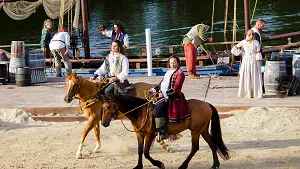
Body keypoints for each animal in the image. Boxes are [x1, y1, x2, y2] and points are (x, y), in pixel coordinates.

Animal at [101, 95, 230, 169]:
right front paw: (138, 166)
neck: (140, 111)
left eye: (109, 107)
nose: (103, 123)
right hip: (203, 130)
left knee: (195, 148)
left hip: (195, 131)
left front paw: (159, 164)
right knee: (212, 144)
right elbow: (139, 151)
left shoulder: (150, 135)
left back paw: (183, 166)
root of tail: (206, 104)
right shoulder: (139, 135)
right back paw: (215, 165)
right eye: (102, 106)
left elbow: (146, 153)